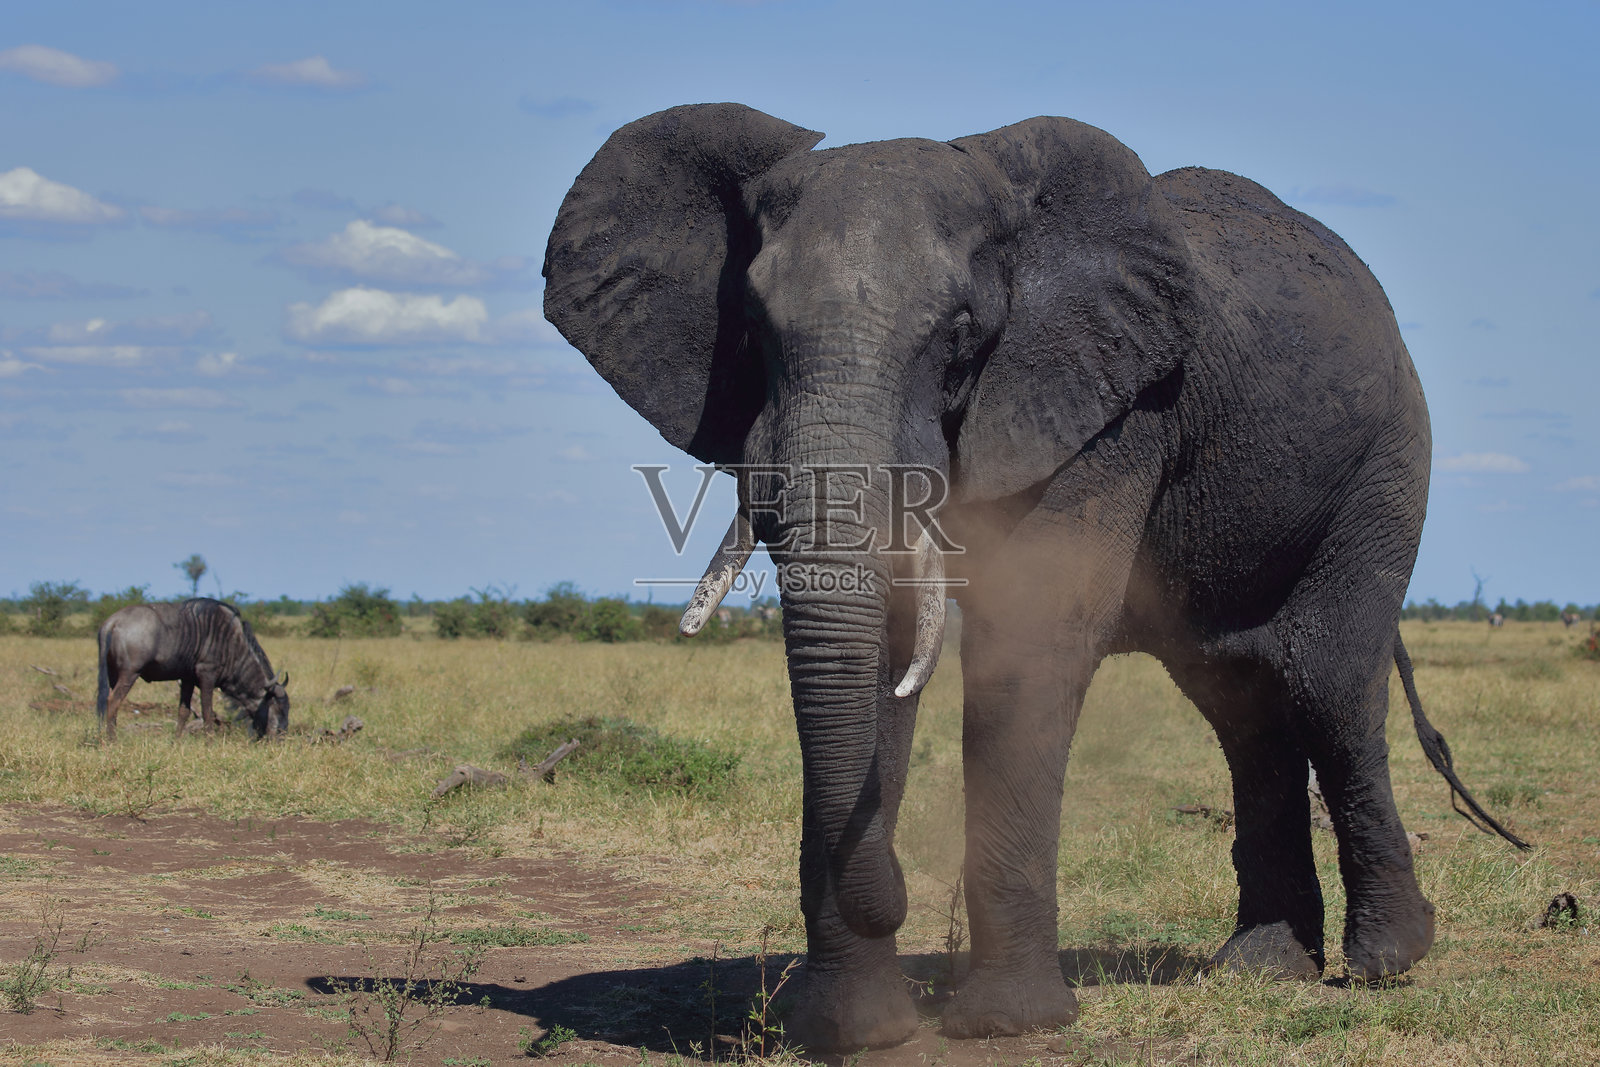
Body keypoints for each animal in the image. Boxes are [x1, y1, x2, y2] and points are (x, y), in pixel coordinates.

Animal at [542, 103, 1527, 1052]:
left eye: (960, 331)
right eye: (751, 326)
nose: (900, 896)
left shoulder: (1110, 407)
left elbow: (1030, 639)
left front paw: (1005, 1024)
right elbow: (885, 649)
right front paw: (850, 1033)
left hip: (1385, 461)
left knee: (1325, 678)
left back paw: (1387, 960)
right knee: (1240, 701)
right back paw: (1262, 966)